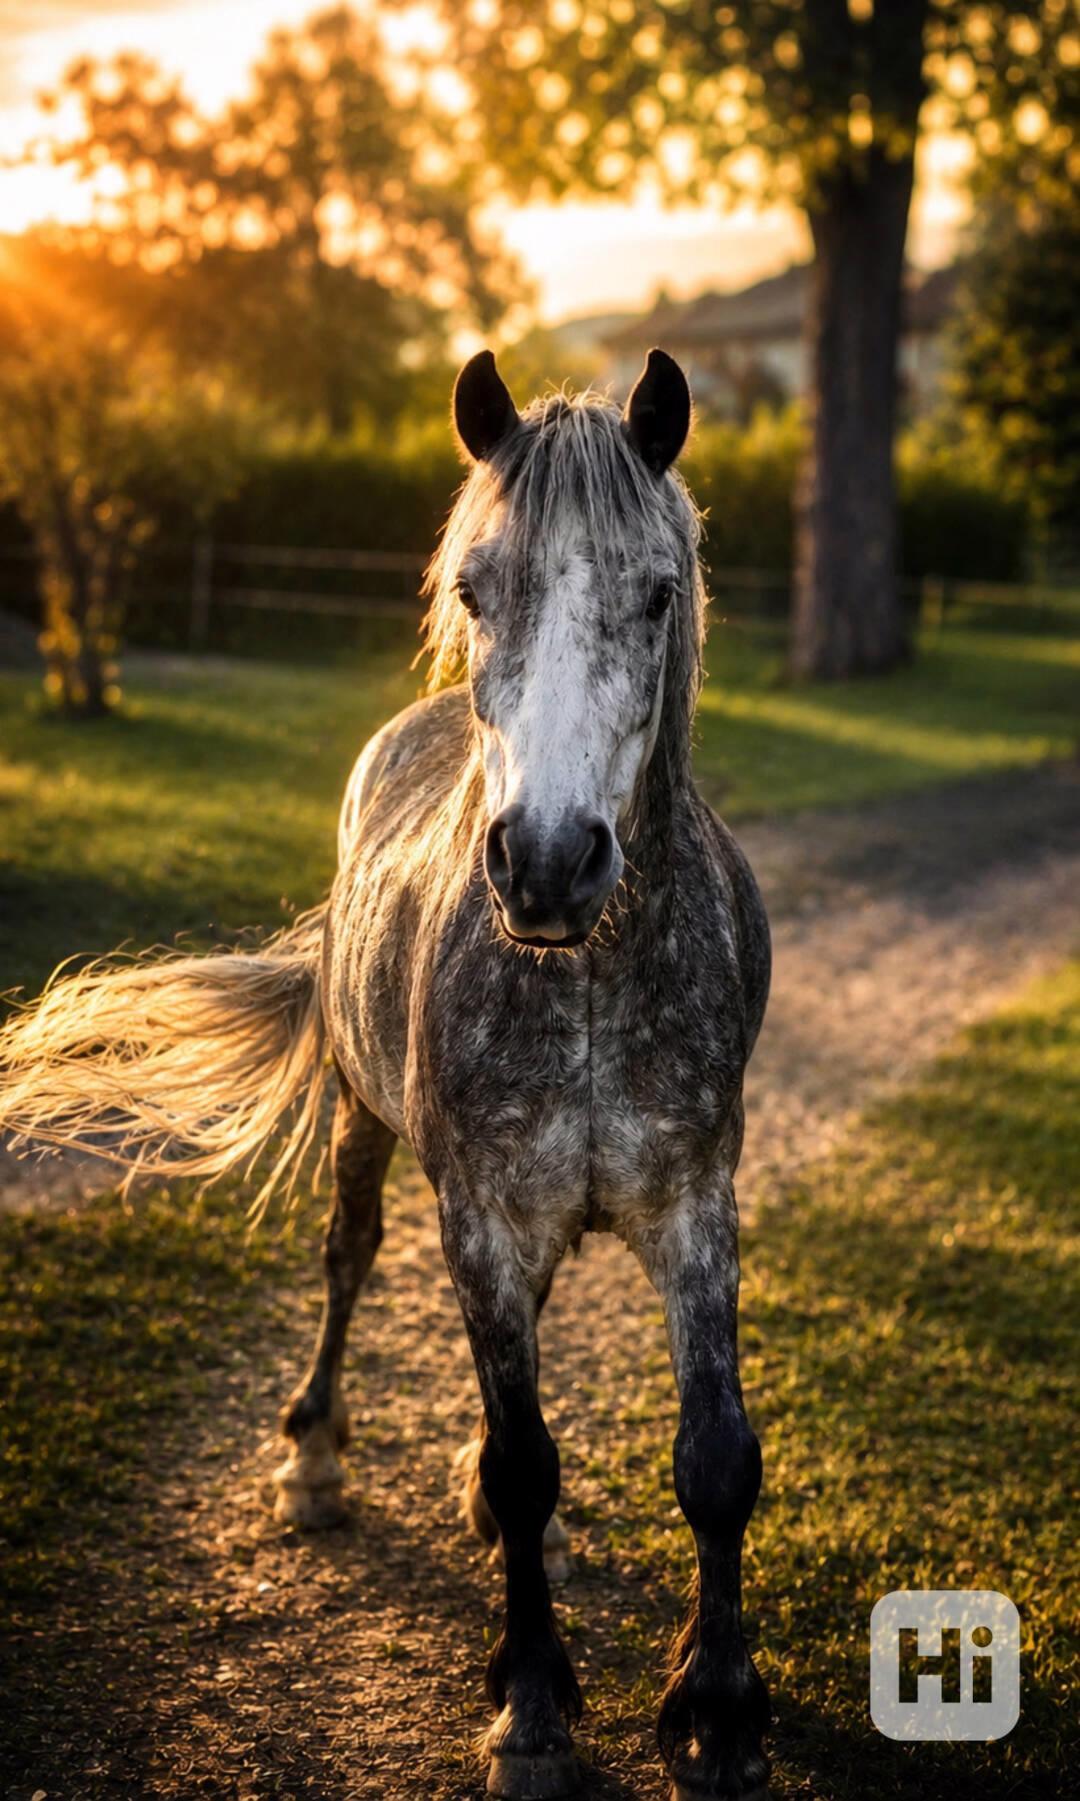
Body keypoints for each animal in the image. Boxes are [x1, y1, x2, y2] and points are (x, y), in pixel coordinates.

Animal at [0, 349, 772, 1801]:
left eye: (655, 592)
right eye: (476, 588)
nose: (545, 861)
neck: (586, 974)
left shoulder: (698, 1208)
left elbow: (715, 1460)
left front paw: (717, 1707)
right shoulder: (479, 1217)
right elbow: (524, 1459)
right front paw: (531, 1701)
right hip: (369, 1127)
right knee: (350, 1258)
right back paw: (314, 1460)